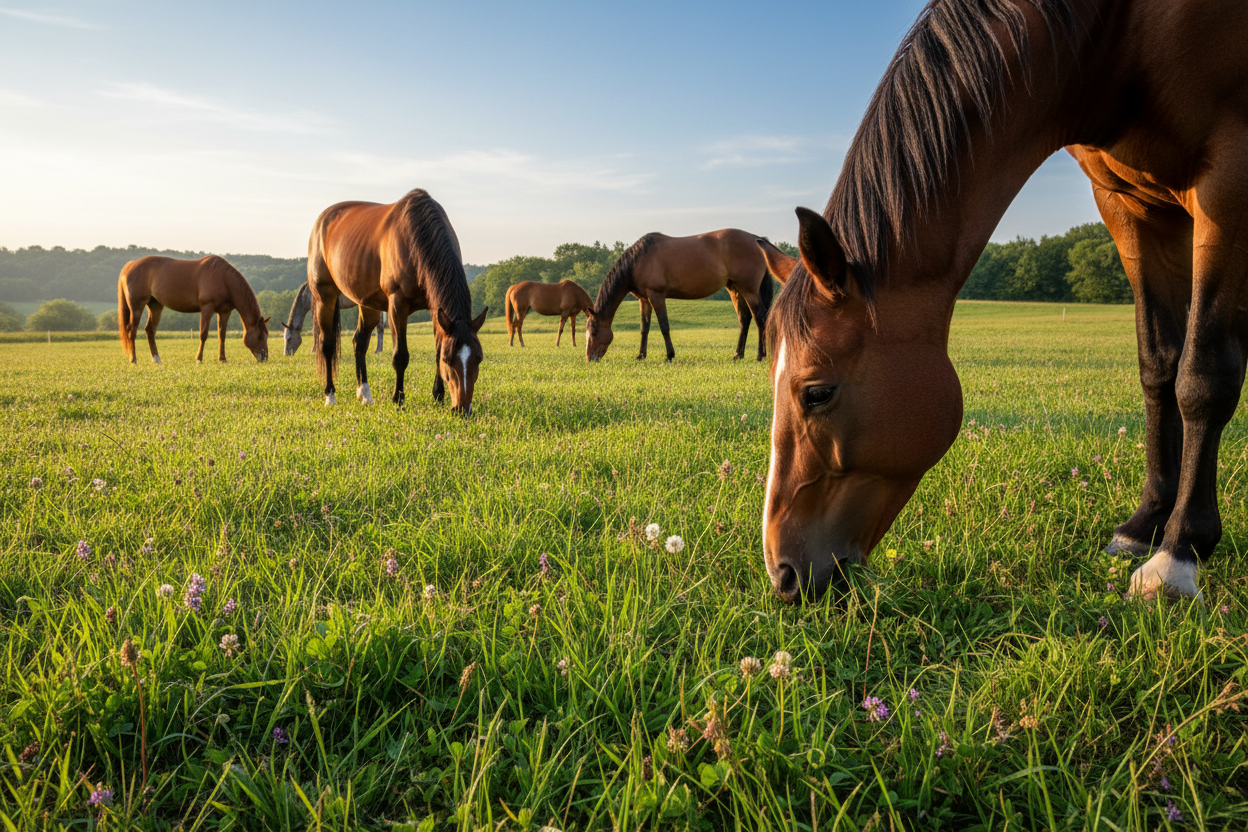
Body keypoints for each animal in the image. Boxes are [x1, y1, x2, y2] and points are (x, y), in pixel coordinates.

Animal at [118, 255, 270, 364]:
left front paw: (222, 359)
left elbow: (222, 335)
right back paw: (133, 360)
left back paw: (156, 359)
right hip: (137, 307)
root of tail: (130, 265)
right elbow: (203, 334)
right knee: (132, 330)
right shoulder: (207, 308)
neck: (223, 279)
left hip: (155, 306)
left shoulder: (224, 312)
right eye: (260, 336)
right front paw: (199, 359)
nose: (264, 357)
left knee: (150, 330)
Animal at [308, 188, 486, 412]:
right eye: (449, 359)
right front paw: (398, 400)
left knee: (360, 342)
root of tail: (322, 220)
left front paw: (438, 396)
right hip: (325, 298)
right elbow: (400, 356)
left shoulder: (435, 310)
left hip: (368, 303)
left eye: (478, 358)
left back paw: (365, 394)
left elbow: (436, 349)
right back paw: (330, 395)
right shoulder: (397, 306)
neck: (415, 237)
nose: (462, 409)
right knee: (327, 345)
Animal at [584, 230, 783, 362]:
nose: (589, 358)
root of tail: (757, 239)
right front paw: (641, 355)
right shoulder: (644, 300)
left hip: (749, 290)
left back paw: (760, 355)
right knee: (744, 319)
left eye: (594, 331)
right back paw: (738, 354)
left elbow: (664, 326)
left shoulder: (656, 296)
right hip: (734, 289)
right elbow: (644, 328)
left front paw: (669, 356)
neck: (639, 260)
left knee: (760, 318)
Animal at [761, 0, 1248, 604]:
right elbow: (1159, 367)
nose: (781, 571)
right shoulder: (1128, 204)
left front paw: (1179, 553)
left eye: (817, 393)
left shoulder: (1228, 185)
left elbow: (1202, 379)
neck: (1116, 38)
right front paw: (1145, 526)